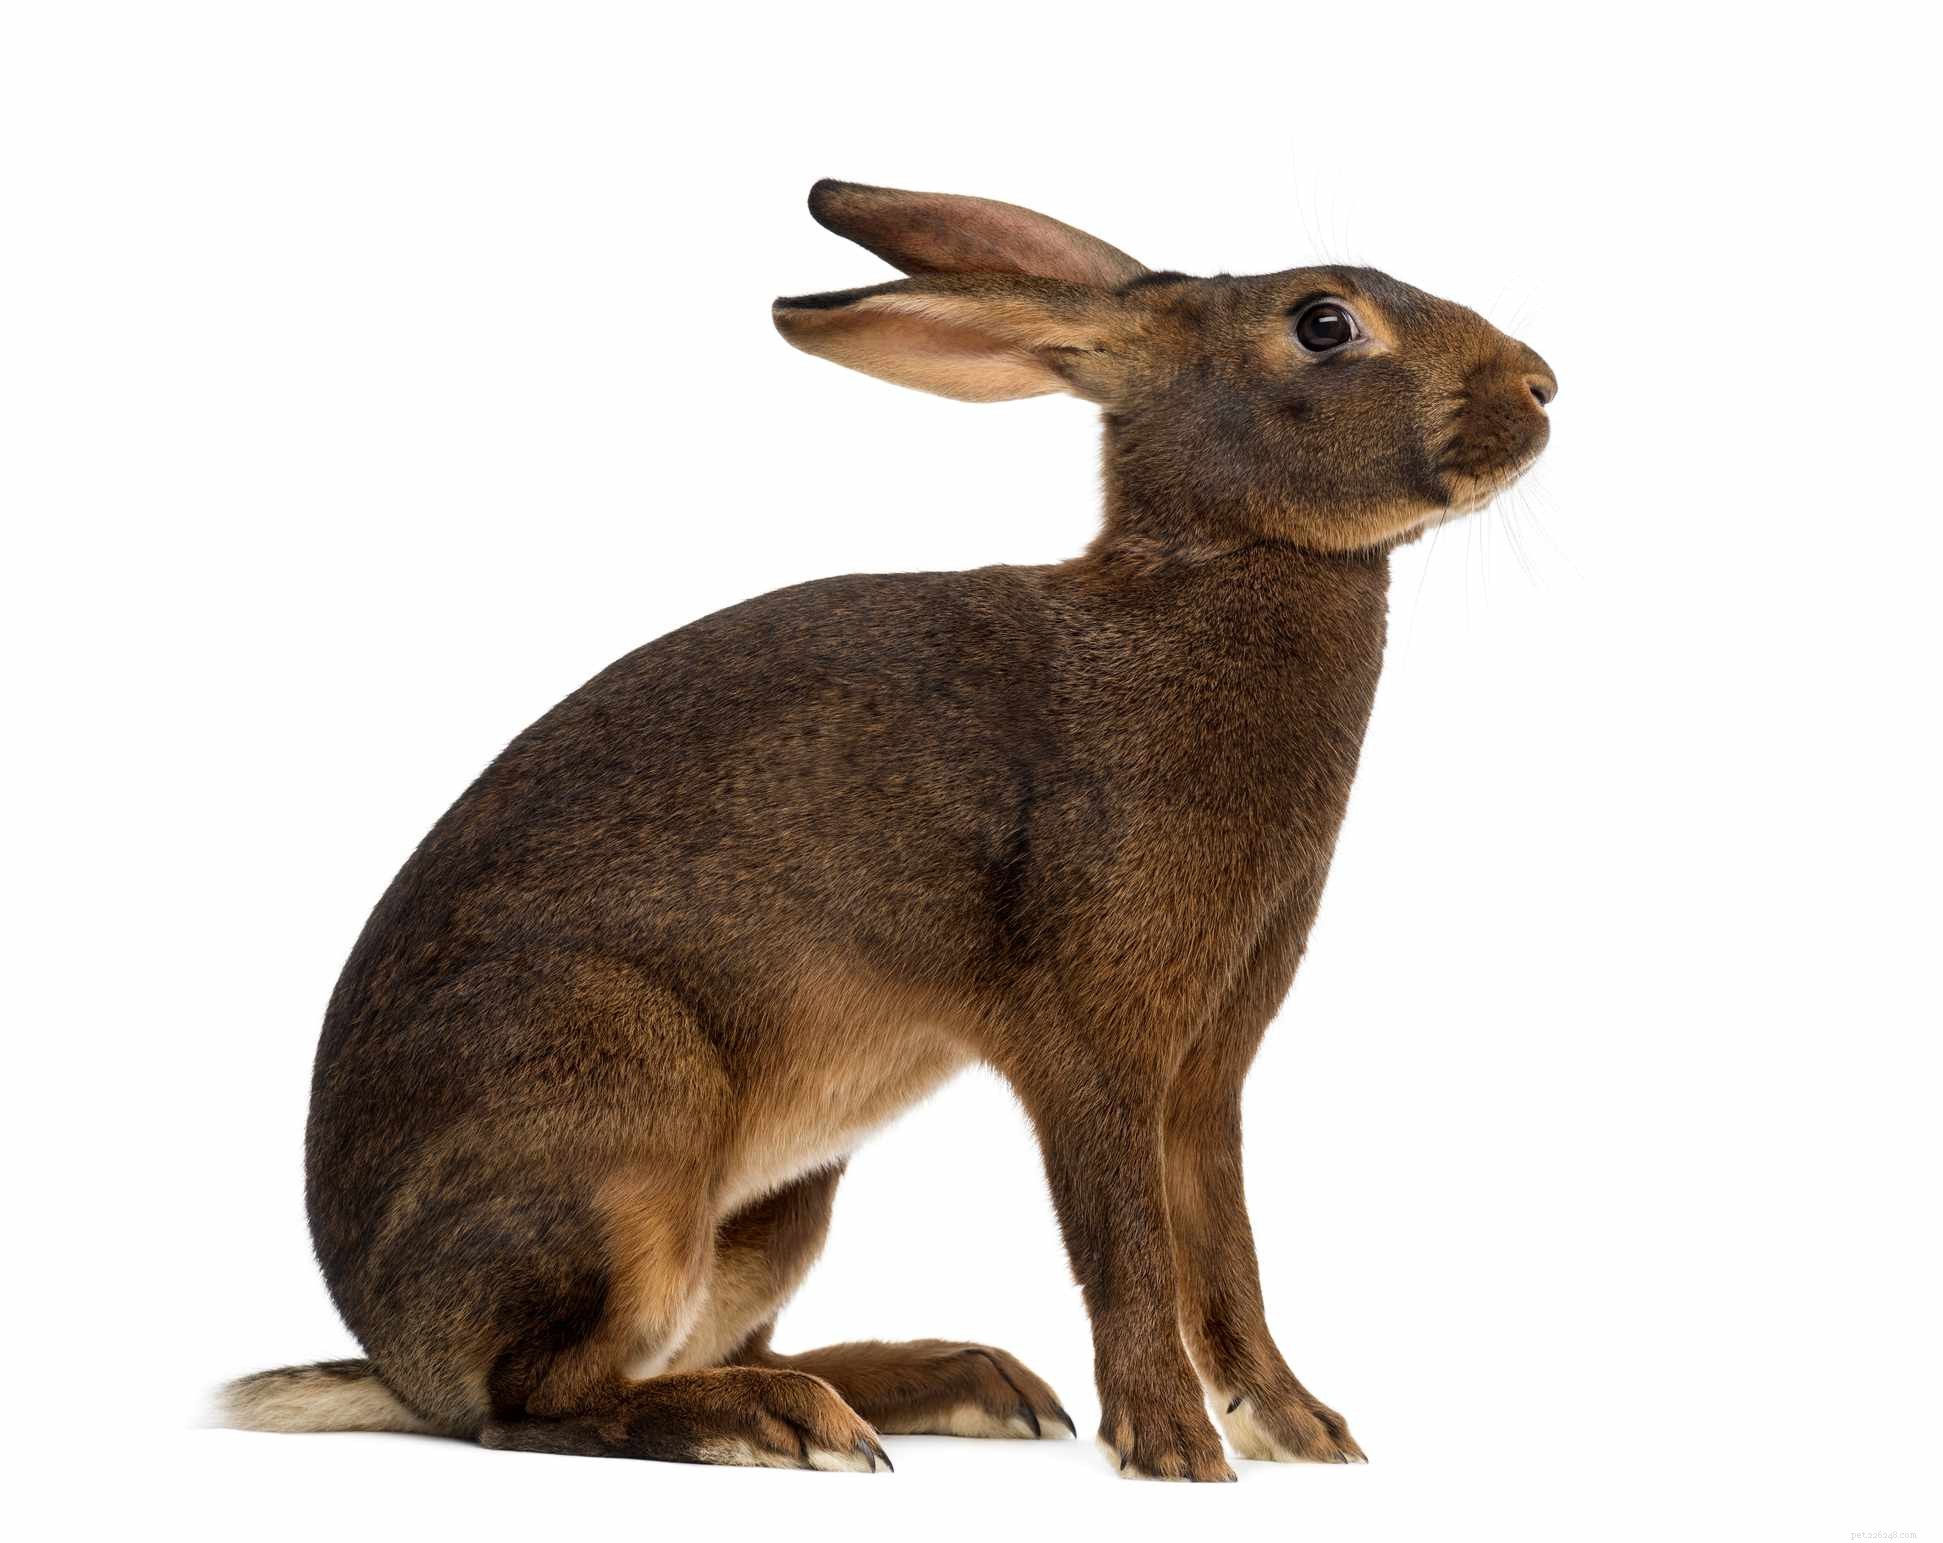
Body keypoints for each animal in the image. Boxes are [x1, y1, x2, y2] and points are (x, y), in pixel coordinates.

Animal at [222, 178, 1555, 1482]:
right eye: (1323, 323)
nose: (1541, 386)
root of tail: (395, 1353)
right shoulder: (1092, 1045)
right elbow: (1125, 1244)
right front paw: (1173, 1448)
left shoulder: (1206, 1069)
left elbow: (1222, 1252)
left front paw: (1299, 1428)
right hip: (615, 1117)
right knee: (531, 1402)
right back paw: (778, 1421)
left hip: (778, 1206)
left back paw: (951, 1383)